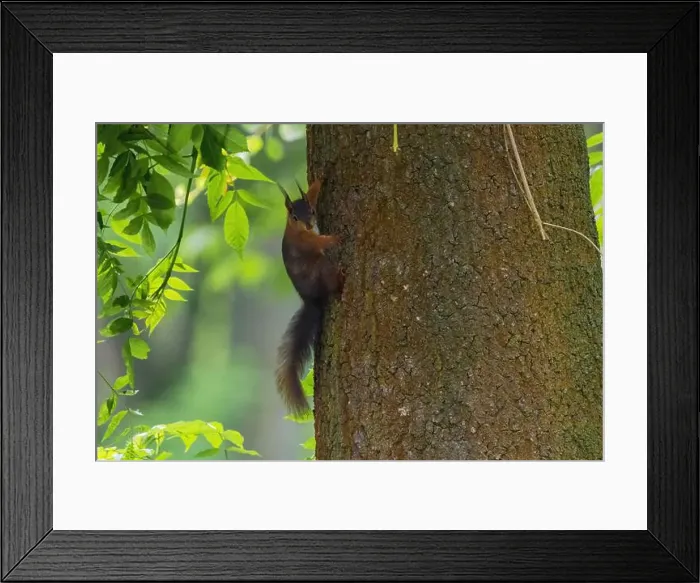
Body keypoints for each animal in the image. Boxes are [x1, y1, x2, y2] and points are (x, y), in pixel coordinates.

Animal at [275, 176, 344, 415]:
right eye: (294, 216)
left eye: (312, 211)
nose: (308, 224)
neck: (296, 230)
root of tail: (311, 300)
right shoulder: (305, 242)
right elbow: (318, 242)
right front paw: (334, 238)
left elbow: (313, 191)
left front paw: (320, 181)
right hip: (321, 267)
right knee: (331, 283)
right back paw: (339, 280)